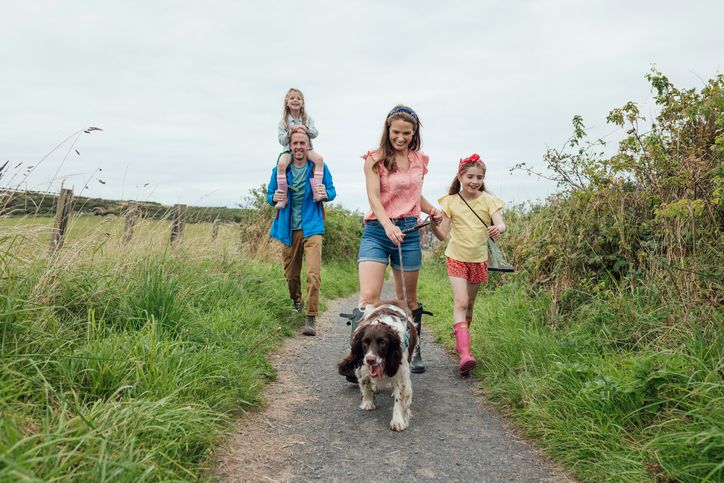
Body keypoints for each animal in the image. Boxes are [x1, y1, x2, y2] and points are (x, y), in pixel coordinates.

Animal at [336, 302, 416, 432]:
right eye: (365, 342)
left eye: (383, 342)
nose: (370, 359)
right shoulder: (363, 367)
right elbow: (366, 383)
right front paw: (368, 402)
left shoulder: (400, 372)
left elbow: (400, 398)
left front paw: (398, 420)